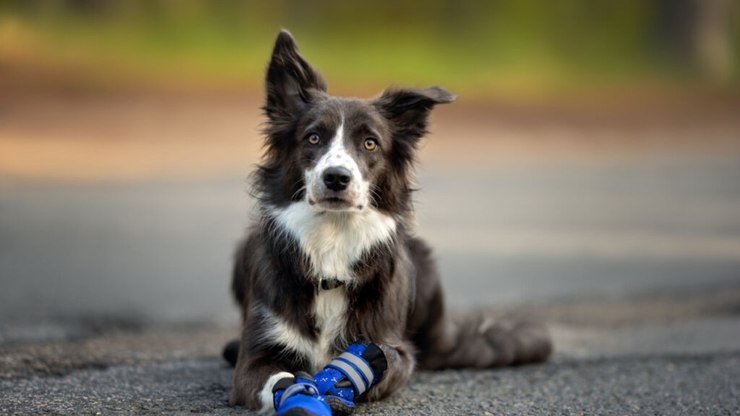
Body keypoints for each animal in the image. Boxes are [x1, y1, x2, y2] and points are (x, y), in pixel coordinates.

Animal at [228, 30, 552, 414]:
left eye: (370, 143)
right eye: (313, 137)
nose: (336, 178)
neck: (332, 241)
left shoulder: (393, 347)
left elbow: (381, 364)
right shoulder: (255, 356)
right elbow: (279, 379)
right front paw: (300, 393)